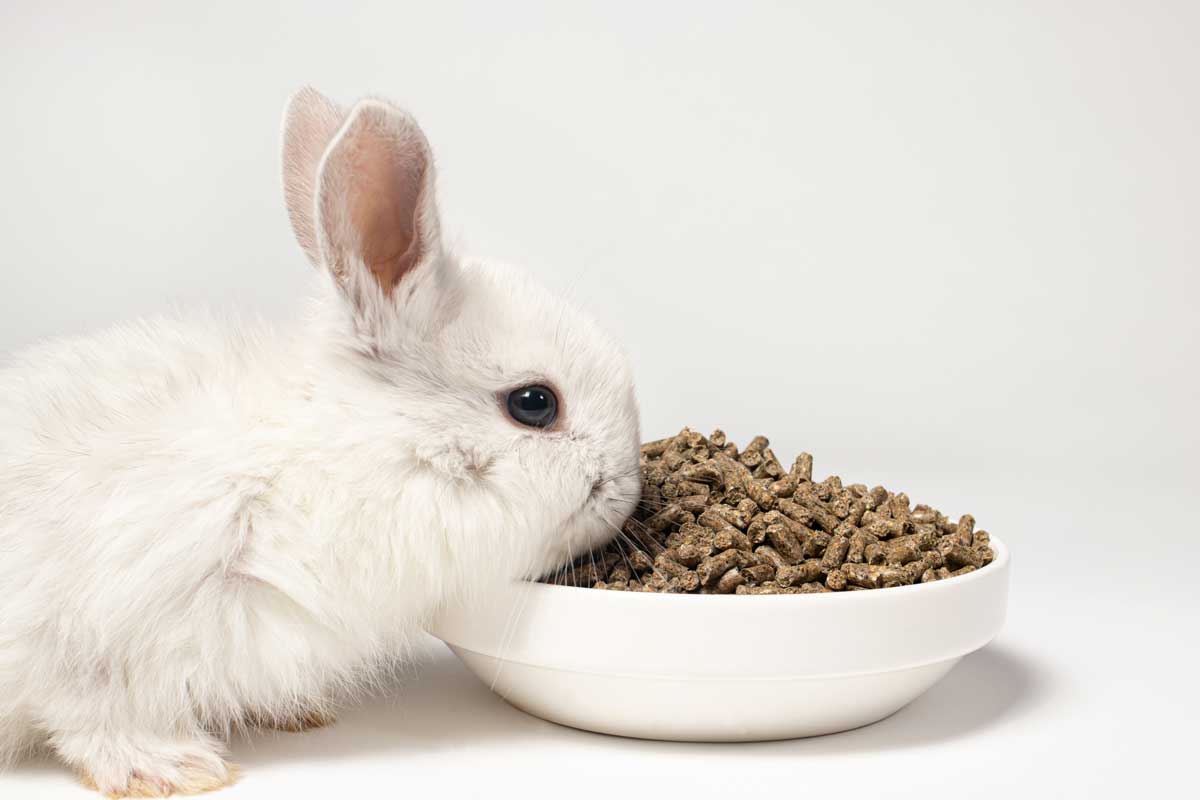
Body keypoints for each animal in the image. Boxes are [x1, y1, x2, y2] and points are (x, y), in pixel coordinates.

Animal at [0, 87, 642, 796]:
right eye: (534, 404)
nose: (627, 491)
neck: (347, 457)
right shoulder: (96, 619)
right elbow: (91, 709)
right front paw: (172, 769)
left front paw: (297, 716)